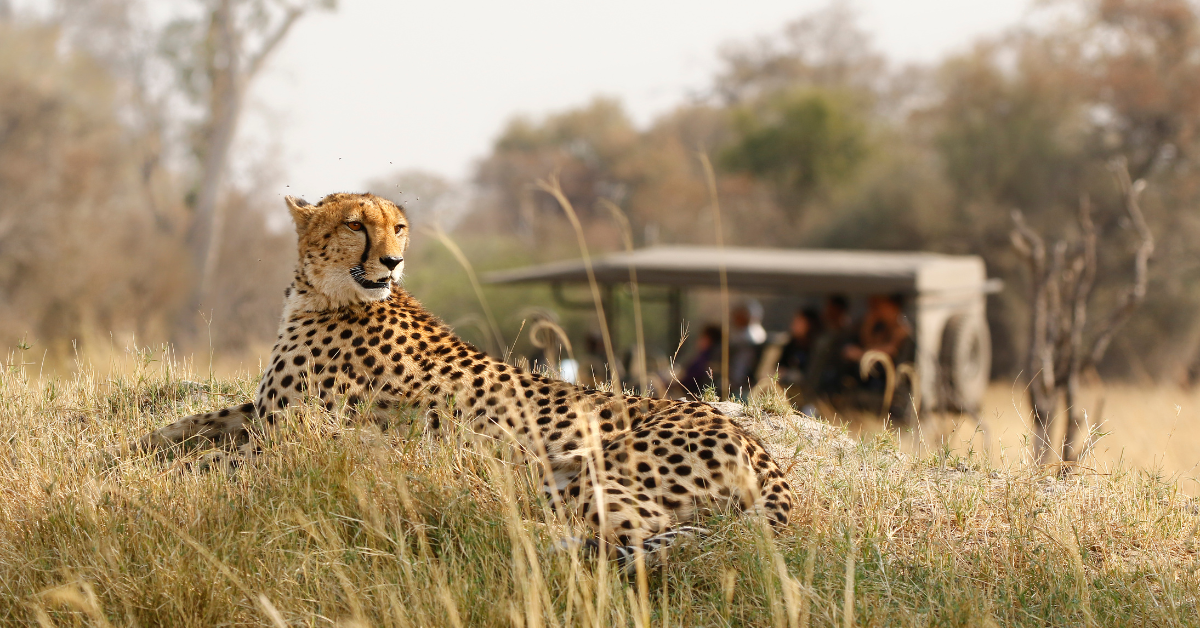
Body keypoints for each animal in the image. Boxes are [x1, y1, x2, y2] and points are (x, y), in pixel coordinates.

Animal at [131, 192, 795, 561]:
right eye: (355, 224)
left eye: (398, 227)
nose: (393, 260)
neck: (325, 292)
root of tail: (755, 442)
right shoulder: (265, 411)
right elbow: (192, 423)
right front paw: (137, 448)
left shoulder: (297, 432)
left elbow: (213, 461)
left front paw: (152, 477)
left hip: (579, 471)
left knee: (651, 533)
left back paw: (518, 535)